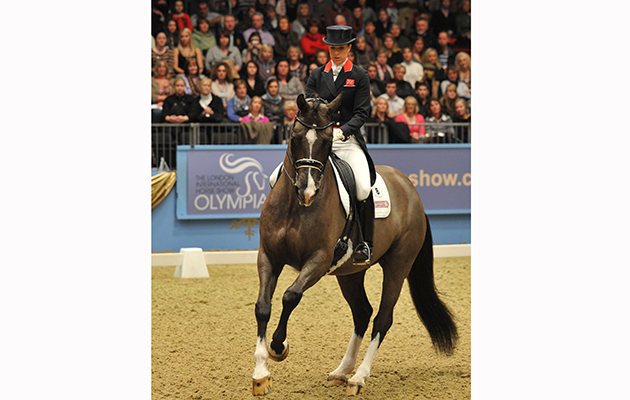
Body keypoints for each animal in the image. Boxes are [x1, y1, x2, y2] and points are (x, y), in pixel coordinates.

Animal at [252, 92, 460, 396]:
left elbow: (291, 296)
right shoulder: (268, 256)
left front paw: (279, 346)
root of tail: (409, 188)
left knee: (382, 318)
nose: (307, 191)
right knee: (362, 313)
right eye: (295, 136)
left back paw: (359, 377)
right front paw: (260, 374)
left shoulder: (318, 260)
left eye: (328, 141)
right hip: (350, 273)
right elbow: (263, 306)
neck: (295, 207)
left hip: (398, 264)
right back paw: (342, 371)